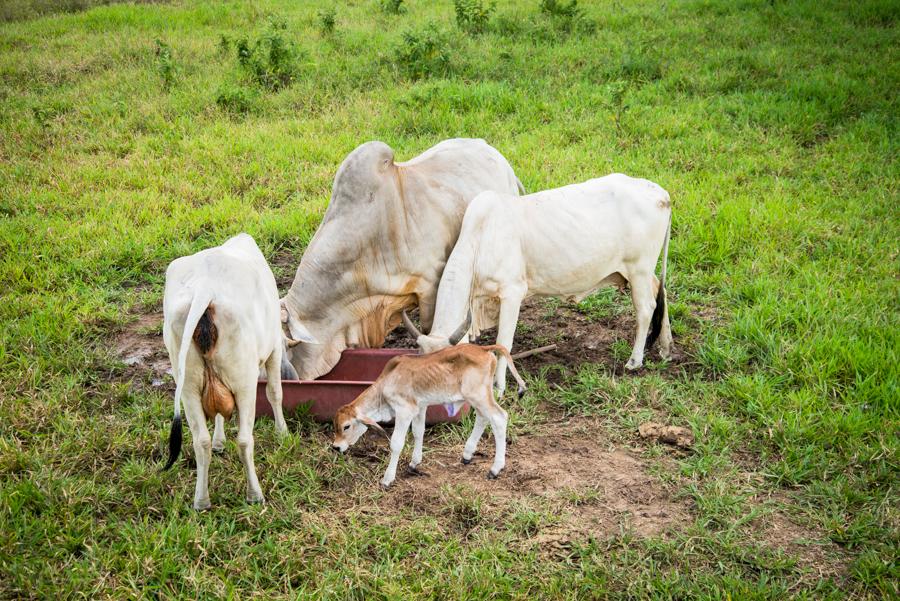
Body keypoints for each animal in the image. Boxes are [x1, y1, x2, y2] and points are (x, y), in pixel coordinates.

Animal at [163, 232, 312, 508]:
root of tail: (204, 288)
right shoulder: (273, 350)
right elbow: (276, 393)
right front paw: (283, 433)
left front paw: (220, 441)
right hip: (244, 382)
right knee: (244, 440)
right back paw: (254, 494)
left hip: (187, 385)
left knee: (200, 441)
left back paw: (201, 501)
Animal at [330, 342, 528, 488]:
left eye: (346, 426)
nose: (336, 447)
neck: (385, 385)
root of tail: (483, 348)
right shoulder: (420, 408)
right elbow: (419, 432)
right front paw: (414, 464)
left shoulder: (405, 410)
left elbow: (396, 443)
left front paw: (387, 479)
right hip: (478, 397)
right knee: (482, 417)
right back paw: (467, 454)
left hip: (478, 395)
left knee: (499, 418)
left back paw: (495, 469)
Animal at [404, 172, 672, 394]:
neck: (481, 239)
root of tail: (661, 193)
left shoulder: (512, 293)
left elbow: (503, 342)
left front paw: (499, 387)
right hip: (640, 273)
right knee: (660, 293)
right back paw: (666, 348)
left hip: (638, 269)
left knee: (646, 308)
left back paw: (635, 361)